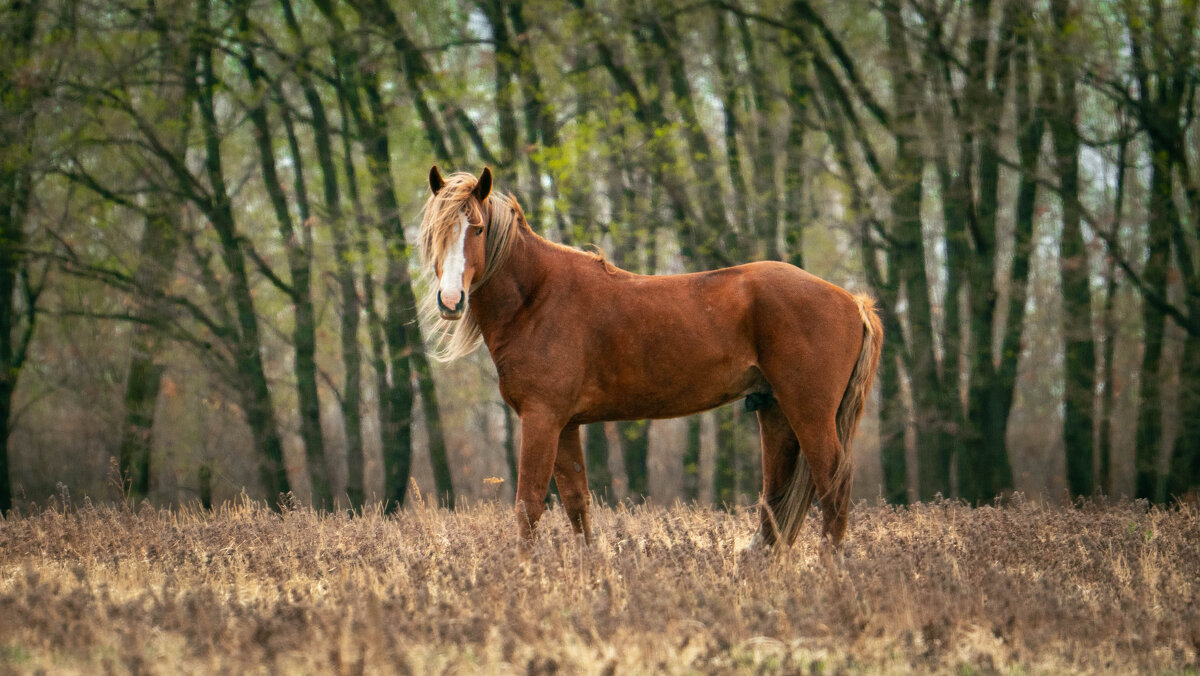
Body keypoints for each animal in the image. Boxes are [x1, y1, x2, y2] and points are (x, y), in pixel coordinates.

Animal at [420, 165, 883, 549]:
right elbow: (577, 506)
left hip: (809, 412)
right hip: (774, 412)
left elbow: (528, 505)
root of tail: (853, 302)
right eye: (433, 235)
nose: (450, 300)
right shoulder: (565, 425)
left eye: (478, 229)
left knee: (832, 488)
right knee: (777, 499)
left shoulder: (541, 418)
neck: (538, 297)